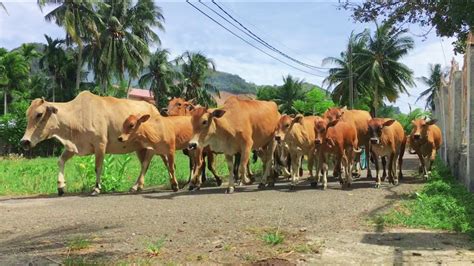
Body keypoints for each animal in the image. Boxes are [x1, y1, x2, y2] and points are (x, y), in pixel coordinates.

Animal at [19, 91, 159, 195]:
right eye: (27, 114)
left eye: (39, 114)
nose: (24, 142)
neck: (76, 116)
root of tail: (154, 109)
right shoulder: (72, 147)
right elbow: (60, 161)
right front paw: (60, 187)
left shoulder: (100, 144)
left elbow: (98, 167)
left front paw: (96, 188)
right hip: (139, 148)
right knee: (144, 164)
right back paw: (138, 186)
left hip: (150, 146)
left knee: (145, 164)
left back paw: (136, 186)